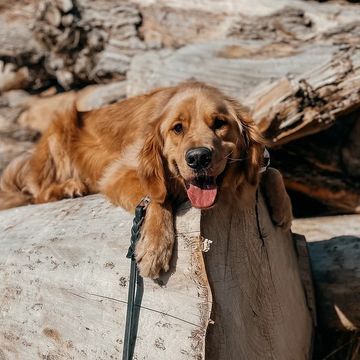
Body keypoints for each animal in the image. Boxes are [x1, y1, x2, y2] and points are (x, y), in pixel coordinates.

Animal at [0, 81, 292, 278]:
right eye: (177, 128)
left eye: (220, 123)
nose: (198, 158)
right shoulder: (118, 172)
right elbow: (158, 199)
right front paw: (155, 246)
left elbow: (270, 169)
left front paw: (283, 208)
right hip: (59, 132)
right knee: (37, 193)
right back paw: (68, 187)